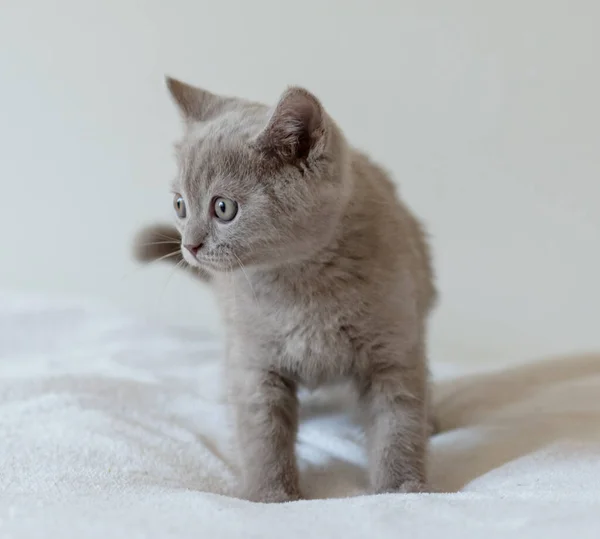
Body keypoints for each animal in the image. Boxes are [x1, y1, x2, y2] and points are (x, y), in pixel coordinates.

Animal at [134, 78, 438, 504]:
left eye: (223, 208)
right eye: (180, 206)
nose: (189, 246)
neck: (300, 288)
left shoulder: (393, 352)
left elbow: (398, 425)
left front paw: (402, 489)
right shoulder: (254, 362)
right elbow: (262, 435)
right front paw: (271, 497)